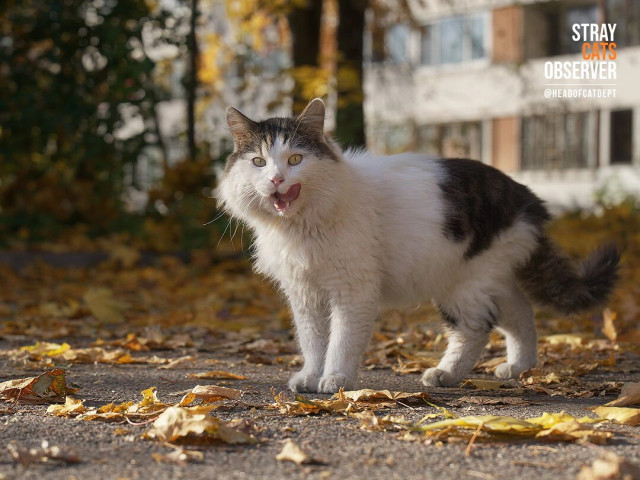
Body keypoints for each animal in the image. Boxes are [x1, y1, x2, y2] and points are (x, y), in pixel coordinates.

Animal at [216, 97, 620, 394]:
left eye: (295, 159)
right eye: (258, 162)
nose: (276, 179)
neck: (302, 226)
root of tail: (524, 195)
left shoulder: (352, 290)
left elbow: (341, 340)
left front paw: (335, 380)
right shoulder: (305, 294)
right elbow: (313, 341)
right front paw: (311, 377)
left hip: (463, 285)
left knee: (475, 330)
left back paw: (445, 374)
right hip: (486, 278)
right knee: (521, 314)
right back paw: (518, 367)